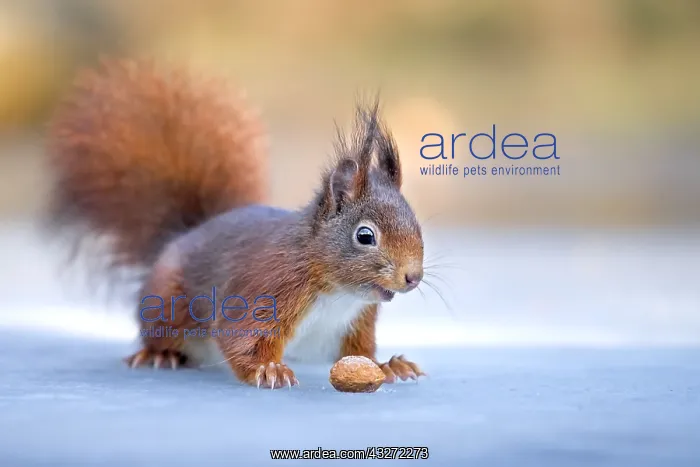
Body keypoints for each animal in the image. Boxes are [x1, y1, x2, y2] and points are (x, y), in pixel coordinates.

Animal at [47, 58, 426, 389]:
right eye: (365, 236)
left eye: (416, 224)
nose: (413, 277)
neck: (338, 291)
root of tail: (186, 233)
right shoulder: (268, 289)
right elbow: (240, 335)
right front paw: (268, 370)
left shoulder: (353, 324)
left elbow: (358, 354)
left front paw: (387, 366)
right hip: (165, 304)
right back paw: (160, 354)